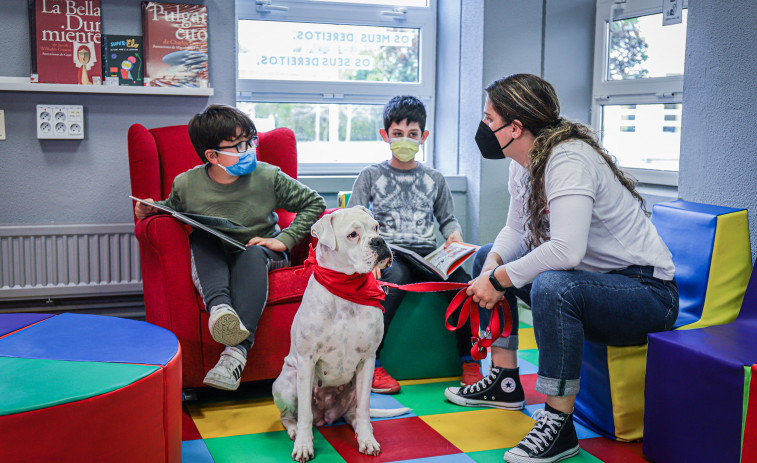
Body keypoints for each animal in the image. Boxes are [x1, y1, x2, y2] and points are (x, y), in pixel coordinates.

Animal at [274, 208, 410, 463]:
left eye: (376, 227)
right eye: (353, 235)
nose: (379, 241)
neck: (346, 287)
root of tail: (326, 417)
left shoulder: (367, 360)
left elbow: (364, 408)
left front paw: (367, 440)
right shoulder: (306, 361)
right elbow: (304, 413)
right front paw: (304, 445)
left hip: (353, 389)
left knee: (355, 413)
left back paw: (363, 432)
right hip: (288, 382)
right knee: (290, 416)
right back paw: (295, 431)